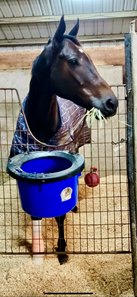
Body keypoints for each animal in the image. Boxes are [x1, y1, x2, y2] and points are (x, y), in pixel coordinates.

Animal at [10, 15, 118, 264]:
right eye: (72, 60)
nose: (112, 102)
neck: (40, 125)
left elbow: (60, 214)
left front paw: (62, 250)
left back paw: (75, 207)